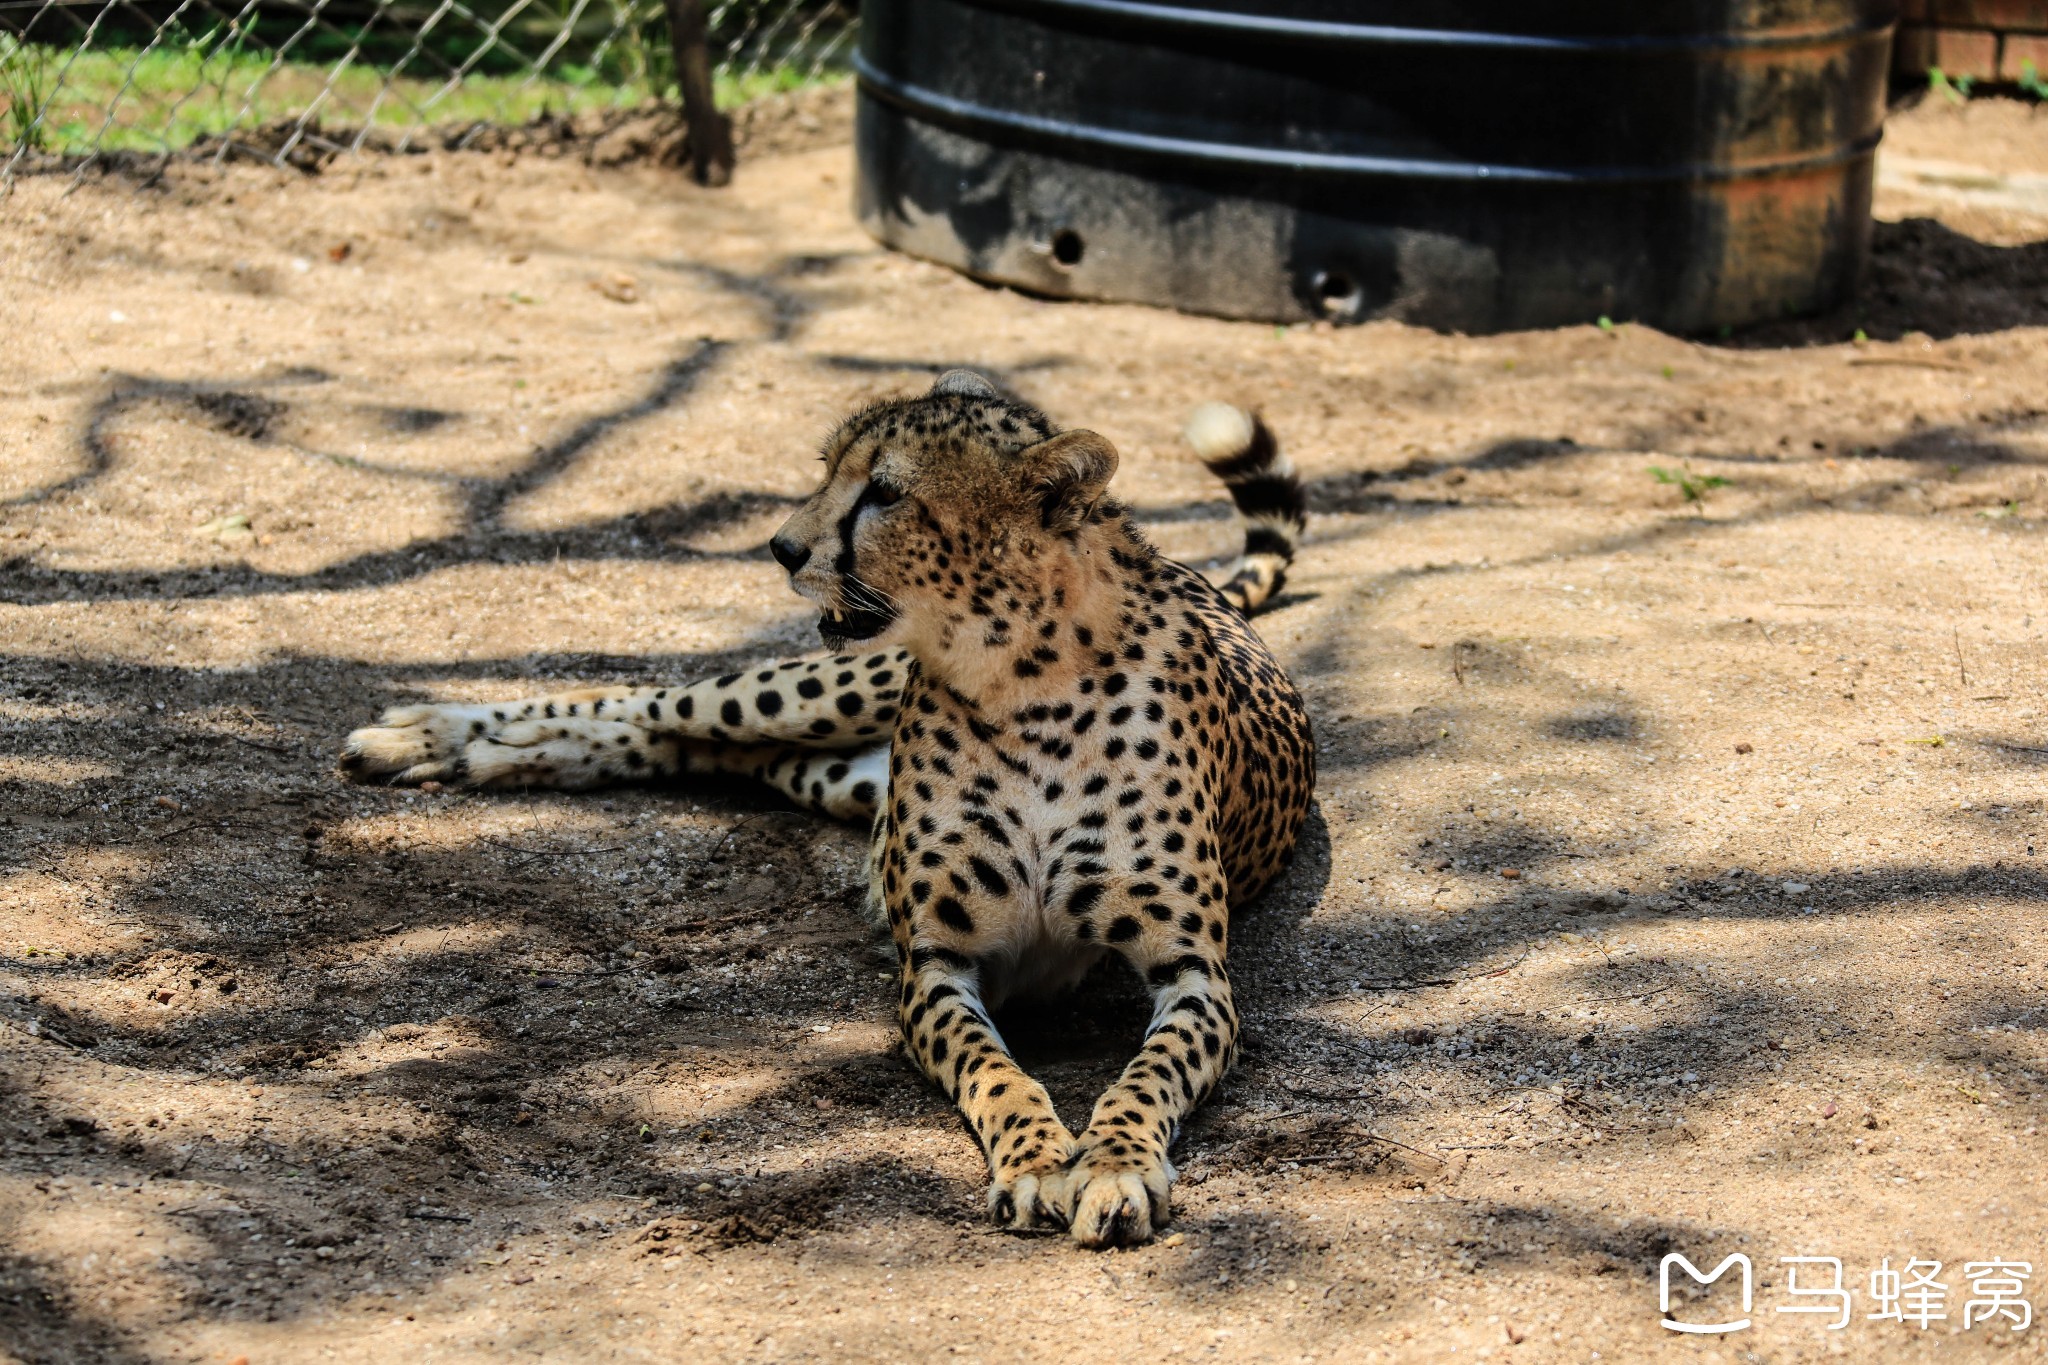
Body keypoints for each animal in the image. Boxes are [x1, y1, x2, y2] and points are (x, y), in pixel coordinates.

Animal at [344, 370, 1310, 1252]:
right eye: (829, 468)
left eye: (885, 491)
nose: (779, 546)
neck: (1024, 684)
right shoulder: (938, 965)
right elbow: (999, 1074)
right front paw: (1038, 1160)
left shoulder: (1195, 974)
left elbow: (1145, 1076)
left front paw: (1112, 1164)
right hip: (817, 688)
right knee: (649, 701)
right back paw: (434, 734)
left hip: (829, 762)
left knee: (697, 746)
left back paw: (485, 751)